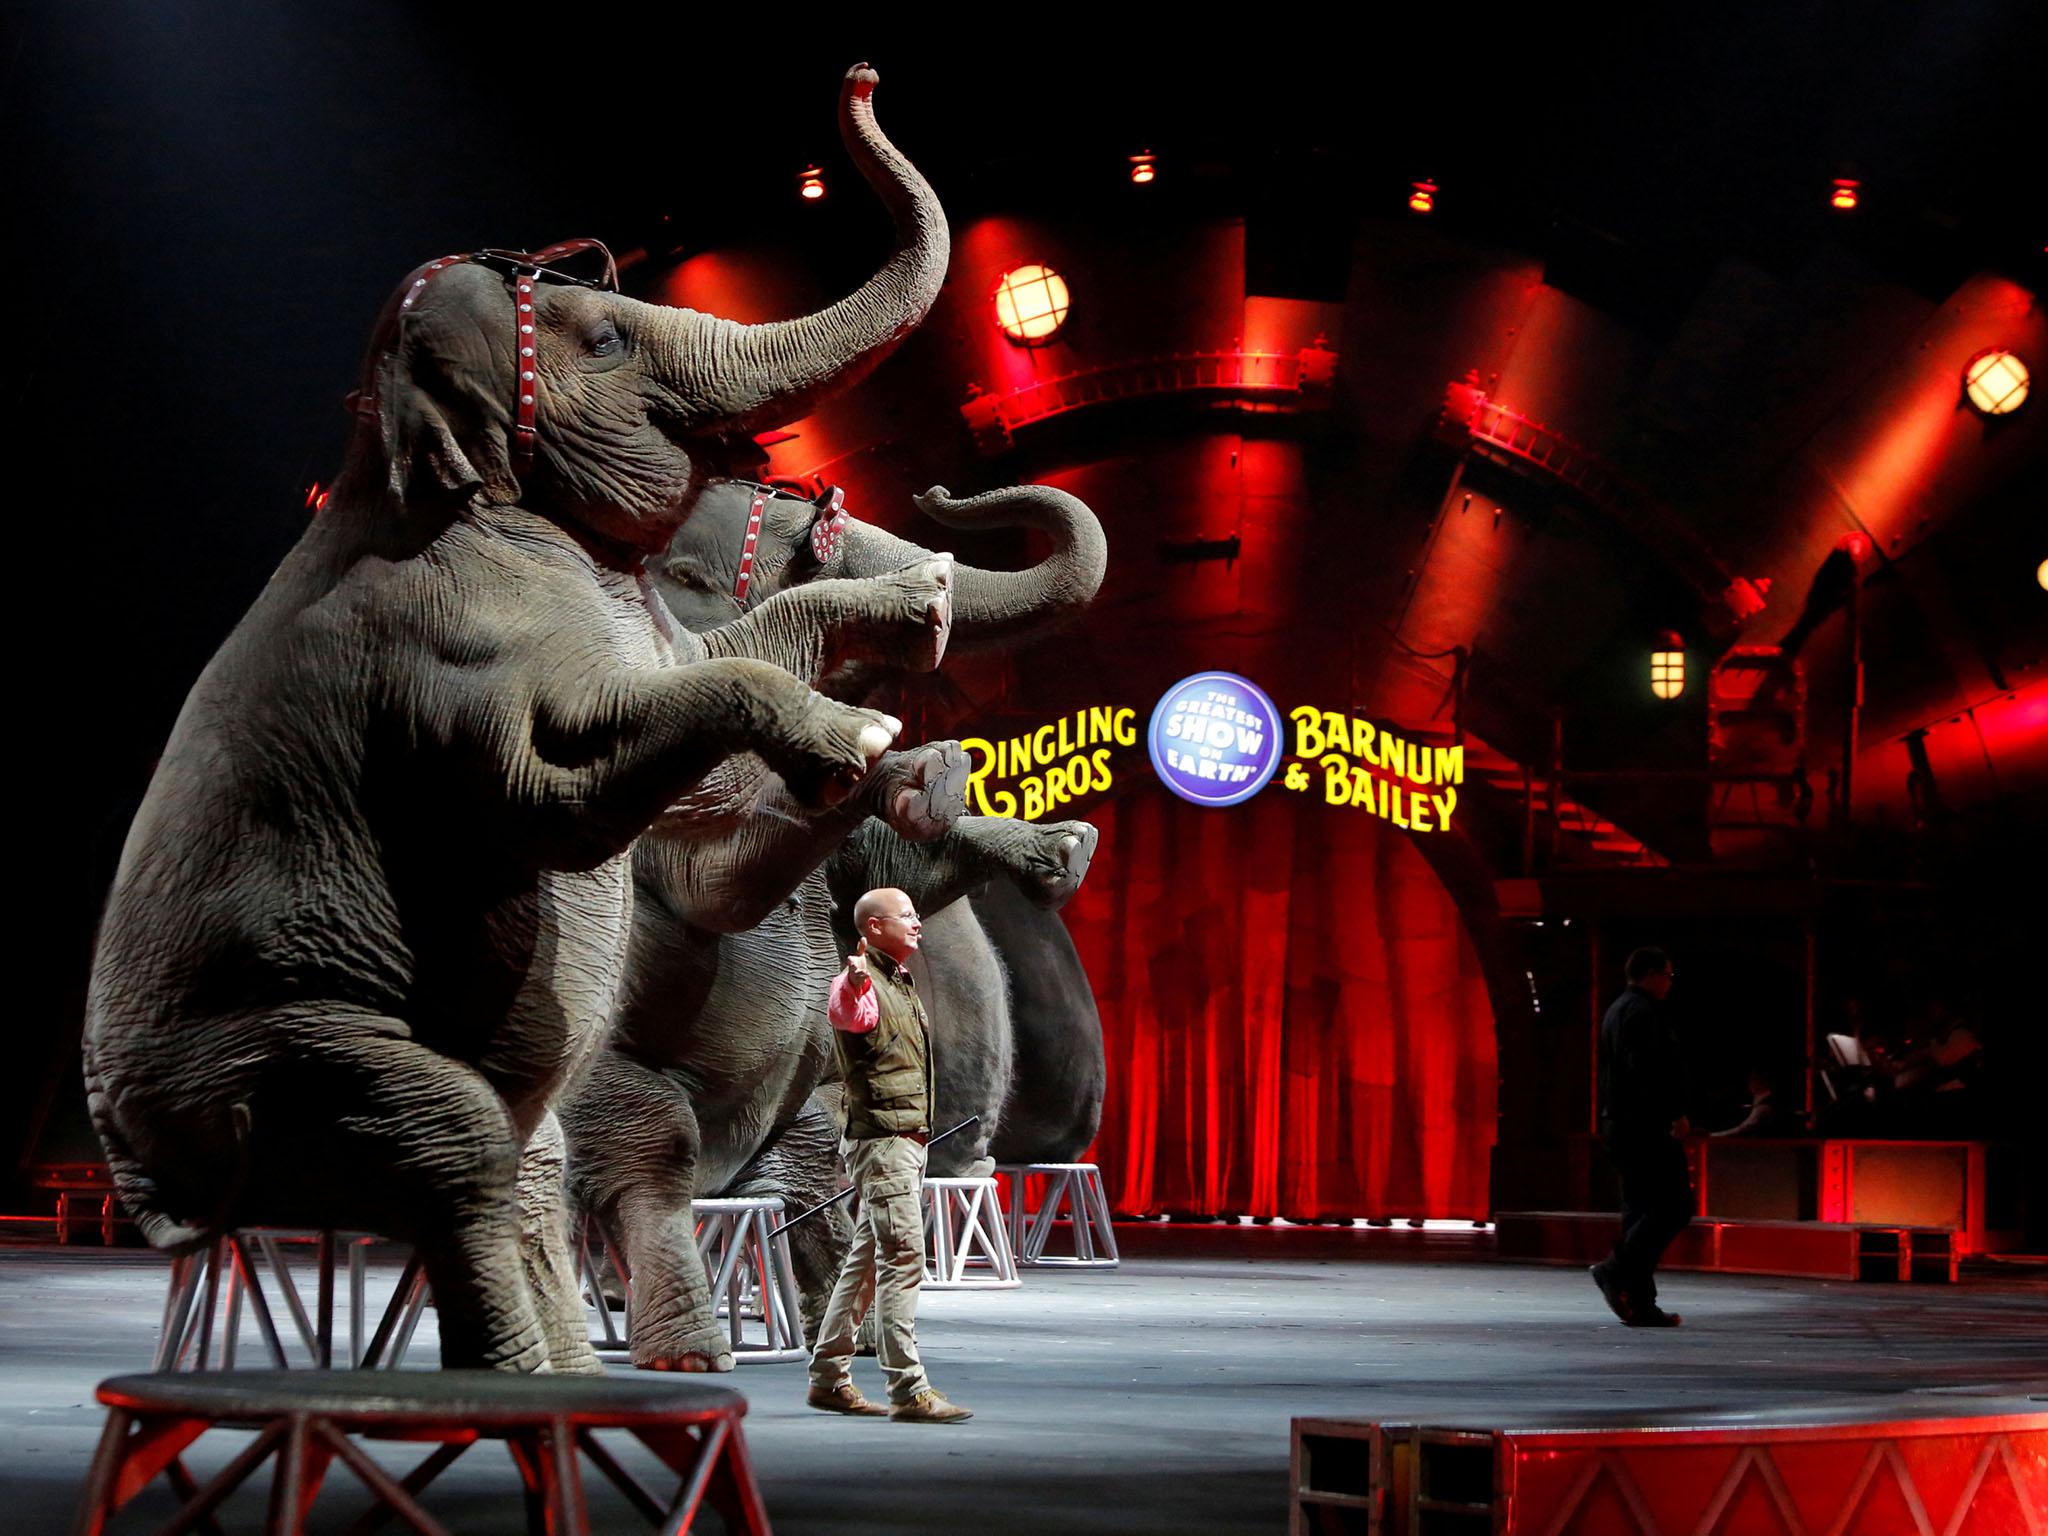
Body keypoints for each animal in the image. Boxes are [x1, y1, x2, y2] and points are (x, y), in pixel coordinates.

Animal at [77, 66, 942, 1376]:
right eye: (607, 337)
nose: (861, 79)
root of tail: (151, 1190)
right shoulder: (441, 650)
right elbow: (556, 796)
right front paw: (858, 744)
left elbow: (703, 687)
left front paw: (919, 607)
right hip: (260, 1055)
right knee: (457, 1144)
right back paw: (520, 1379)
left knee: (522, 1159)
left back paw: (571, 1379)